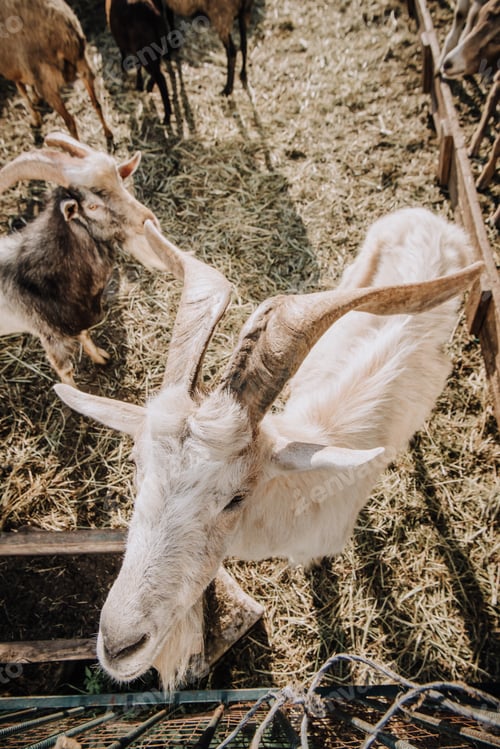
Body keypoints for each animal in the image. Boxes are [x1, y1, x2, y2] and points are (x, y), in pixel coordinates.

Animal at [0, 0, 112, 142]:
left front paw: (36, 120)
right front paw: (36, 100)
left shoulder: (14, 70)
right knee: (96, 103)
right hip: (82, 63)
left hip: (47, 82)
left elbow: (24, 93)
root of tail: (65, 34)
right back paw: (108, 133)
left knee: (70, 121)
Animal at [0, 132, 163, 383]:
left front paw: (100, 358)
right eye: (93, 206)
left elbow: (85, 334)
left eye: (120, 182)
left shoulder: (79, 317)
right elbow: (65, 373)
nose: (149, 220)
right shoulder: (51, 337)